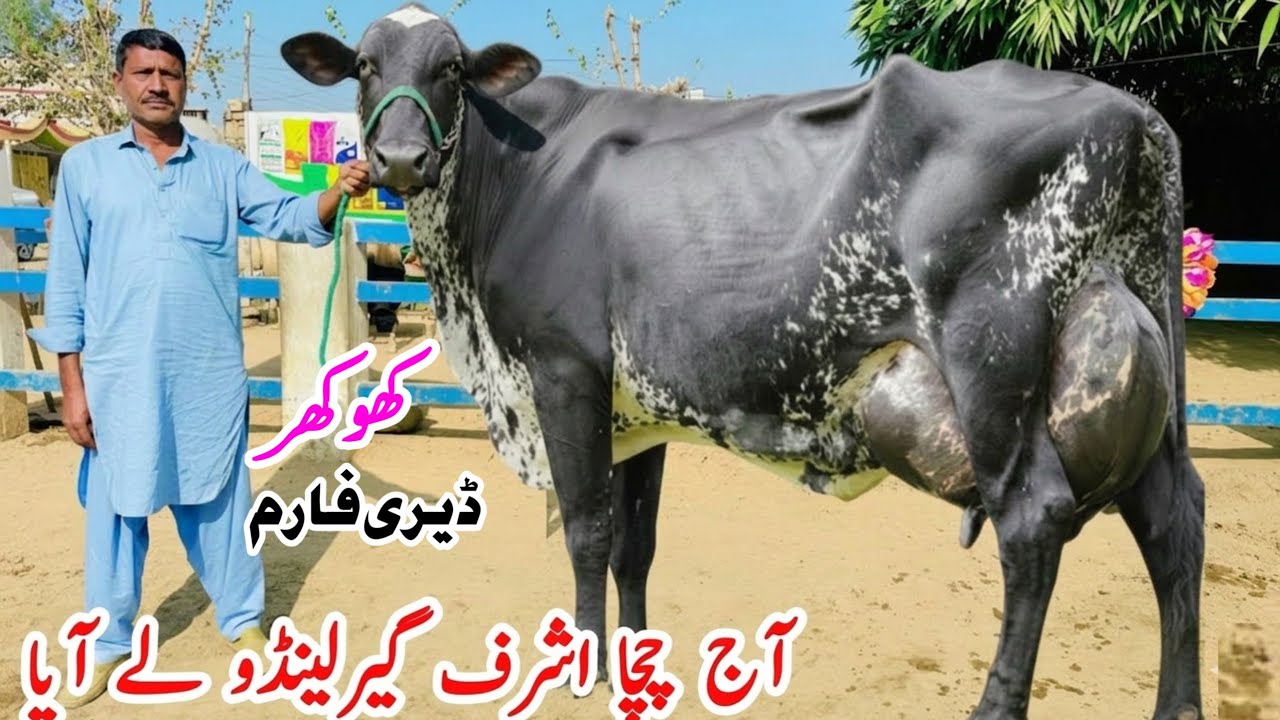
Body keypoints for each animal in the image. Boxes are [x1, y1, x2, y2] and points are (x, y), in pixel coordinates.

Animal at [281, 5, 1205, 718]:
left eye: (451, 69)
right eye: (364, 65)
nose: (400, 158)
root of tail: (1136, 113)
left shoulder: (562, 367)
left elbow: (585, 532)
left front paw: (583, 673)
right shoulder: (635, 407)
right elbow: (634, 544)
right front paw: (633, 663)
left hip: (993, 363)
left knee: (1035, 521)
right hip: (1138, 364)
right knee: (1173, 519)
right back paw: (1179, 703)